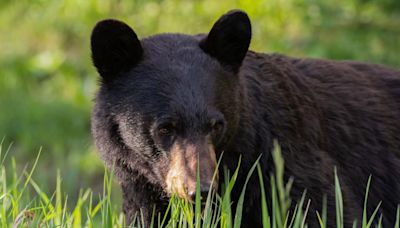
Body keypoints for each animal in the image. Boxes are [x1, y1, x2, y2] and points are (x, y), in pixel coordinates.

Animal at [90, 9, 400, 227]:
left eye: (216, 125)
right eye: (166, 128)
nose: (200, 190)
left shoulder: (286, 164)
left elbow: (328, 210)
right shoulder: (142, 188)